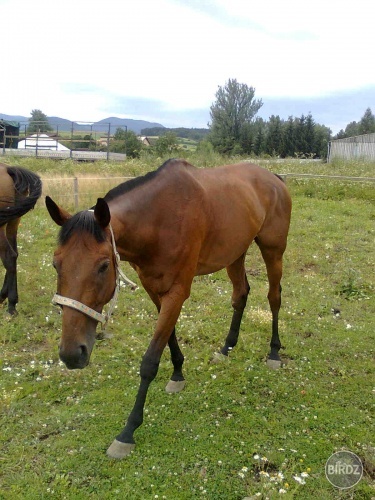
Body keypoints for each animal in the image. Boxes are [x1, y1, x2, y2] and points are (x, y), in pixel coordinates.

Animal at [46, 159, 294, 458]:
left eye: (103, 266)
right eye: (56, 264)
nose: (72, 354)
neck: (159, 218)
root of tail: (275, 178)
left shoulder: (177, 292)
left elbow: (150, 360)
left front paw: (128, 431)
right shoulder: (154, 289)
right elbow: (170, 336)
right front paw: (178, 373)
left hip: (273, 250)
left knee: (274, 298)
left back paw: (274, 352)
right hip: (236, 252)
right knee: (241, 295)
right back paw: (226, 348)